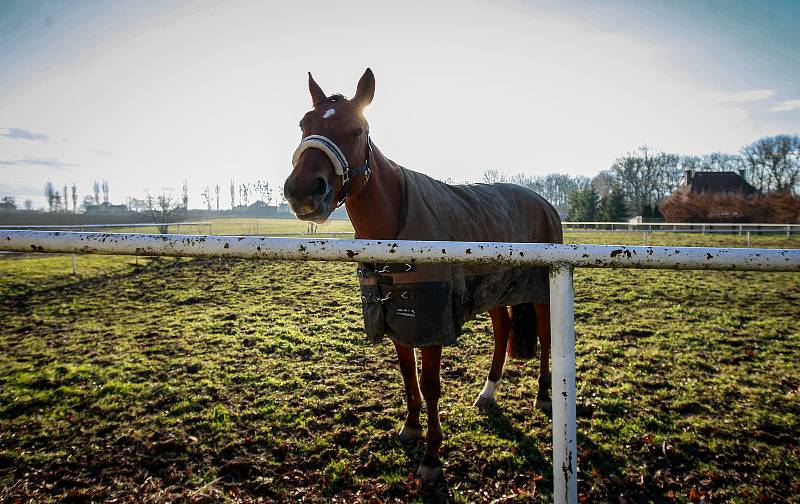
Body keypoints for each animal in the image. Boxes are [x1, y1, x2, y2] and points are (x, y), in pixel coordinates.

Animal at [282, 69, 564, 482]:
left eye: (356, 130)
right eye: (304, 125)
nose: (304, 190)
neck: (396, 237)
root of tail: (544, 202)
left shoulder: (432, 323)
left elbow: (430, 385)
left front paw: (431, 457)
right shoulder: (396, 316)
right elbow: (407, 375)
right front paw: (412, 427)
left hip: (542, 288)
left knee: (544, 337)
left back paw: (543, 395)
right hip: (494, 290)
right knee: (503, 331)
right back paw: (488, 392)